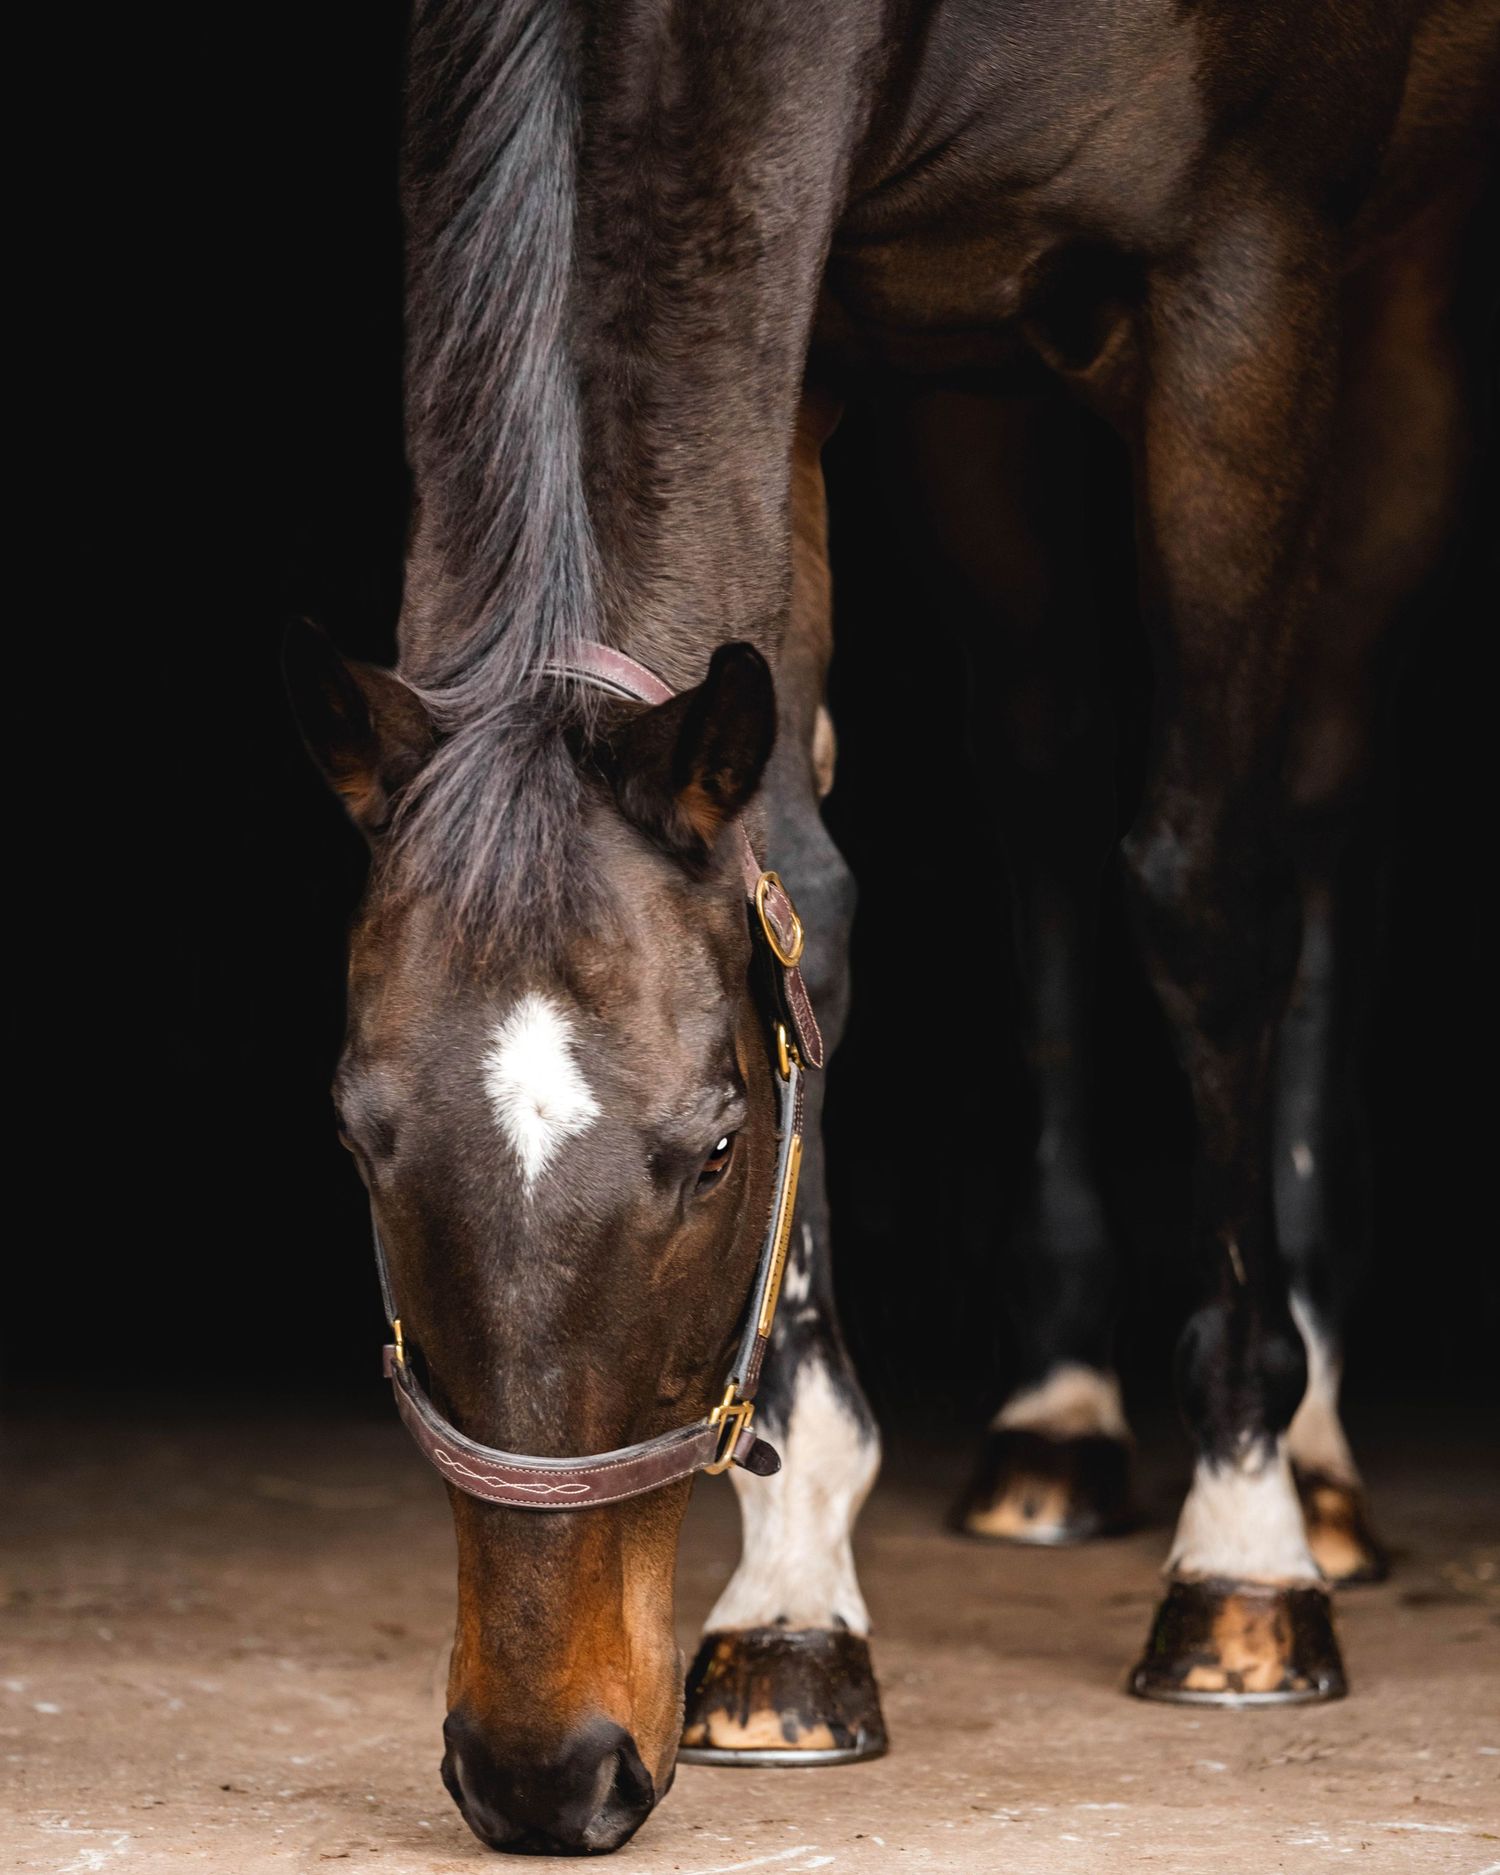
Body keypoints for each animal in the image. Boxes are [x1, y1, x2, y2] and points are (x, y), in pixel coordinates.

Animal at [284, 0, 1497, 1853]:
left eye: (716, 1146)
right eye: (359, 1139)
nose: (542, 1771)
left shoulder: (1255, 284)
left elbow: (1209, 888)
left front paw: (1243, 1545)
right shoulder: (806, 326)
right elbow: (806, 900)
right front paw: (792, 1599)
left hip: (1401, 300)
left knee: (1317, 790)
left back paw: (1318, 1458)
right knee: (1046, 773)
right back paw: (1057, 1419)